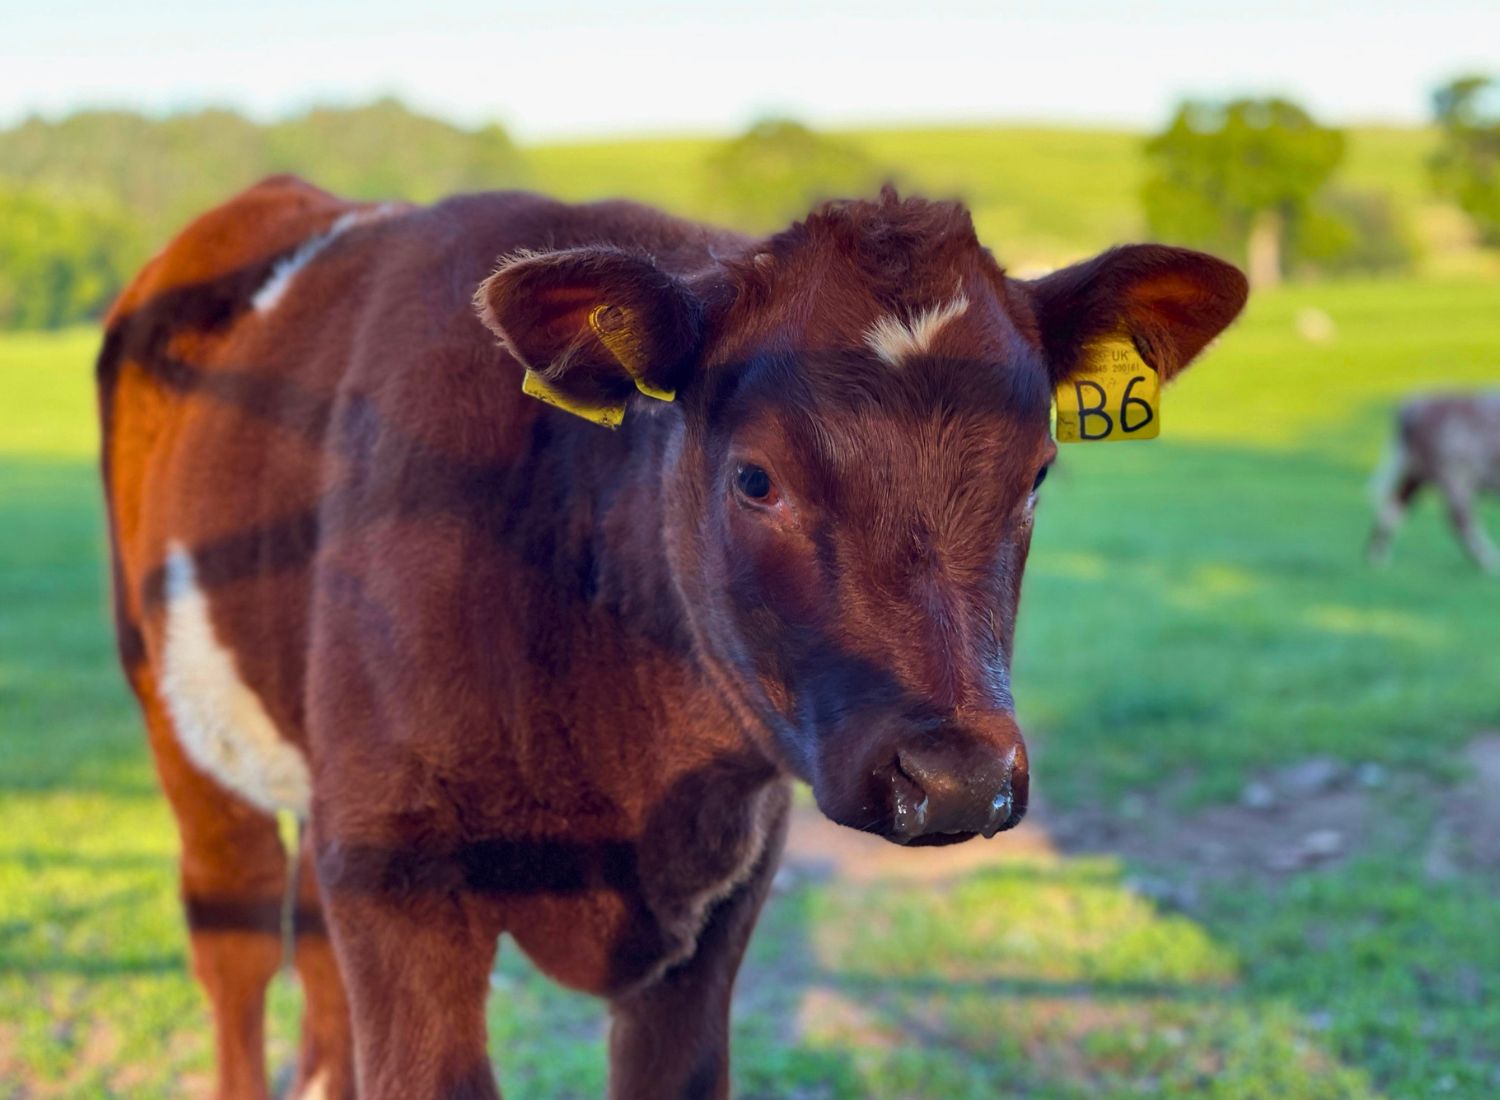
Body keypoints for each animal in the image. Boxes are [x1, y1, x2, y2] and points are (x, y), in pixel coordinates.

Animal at [97, 175, 1247, 1099]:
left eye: (1039, 473)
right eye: (756, 477)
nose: (959, 778)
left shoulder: (721, 900)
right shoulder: (394, 870)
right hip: (174, 717)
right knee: (240, 935)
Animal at [1368, 392, 1500, 572]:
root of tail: (1414, 407)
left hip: (1415, 472)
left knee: (1393, 507)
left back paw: (1377, 560)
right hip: (1455, 475)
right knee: (1460, 518)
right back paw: (1490, 563)